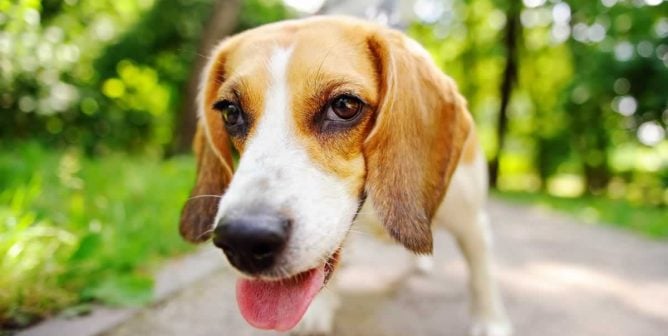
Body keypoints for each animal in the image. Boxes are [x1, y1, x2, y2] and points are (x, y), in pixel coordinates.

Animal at [177, 15, 512, 336]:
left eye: (345, 105)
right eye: (230, 111)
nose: (244, 238)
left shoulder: (473, 225)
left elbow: (482, 278)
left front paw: (491, 322)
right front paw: (319, 309)